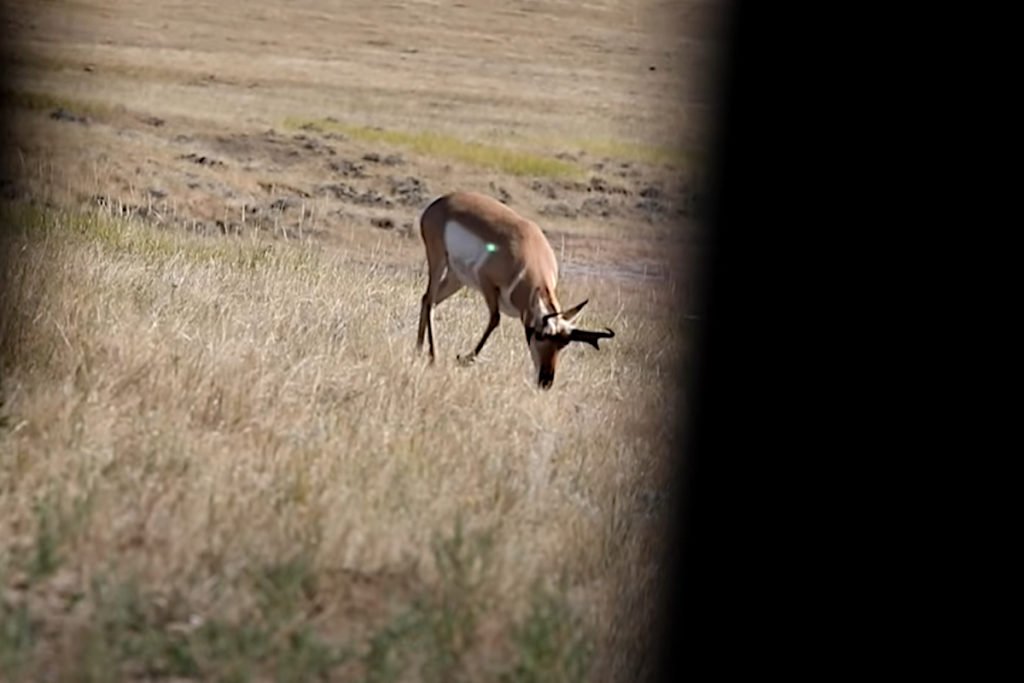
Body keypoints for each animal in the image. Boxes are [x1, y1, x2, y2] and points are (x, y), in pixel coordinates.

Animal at [416, 191, 615, 389]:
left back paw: (418, 350)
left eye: (564, 343)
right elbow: (495, 319)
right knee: (430, 300)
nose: (546, 381)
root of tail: (441, 202)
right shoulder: (486, 283)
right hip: (439, 260)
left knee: (427, 299)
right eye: (540, 335)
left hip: (456, 278)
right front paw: (464, 359)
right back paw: (433, 357)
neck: (528, 252)